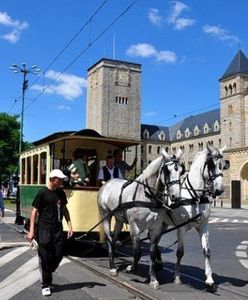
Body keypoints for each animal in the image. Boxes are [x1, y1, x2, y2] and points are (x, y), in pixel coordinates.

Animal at [97, 148, 184, 288]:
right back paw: (113, 267)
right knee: (109, 238)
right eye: (167, 170)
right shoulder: (135, 226)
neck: (148, 196)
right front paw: (131, 268)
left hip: (119, 219)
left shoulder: (156, 228)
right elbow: (137, 251)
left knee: (114, 238)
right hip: (105, 215)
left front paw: (153, 279)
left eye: (181, 170)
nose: (175, 196)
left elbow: (152, 252)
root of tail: (107, 183)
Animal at [164, 144, 230, 292]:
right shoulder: (181, 228)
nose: (219, 190)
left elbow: (207, 251)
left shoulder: (204, 226)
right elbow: (180, 252)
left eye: (222, 165)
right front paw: (177, 277)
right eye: (210, 164)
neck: (196, 197)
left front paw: (209, 280)